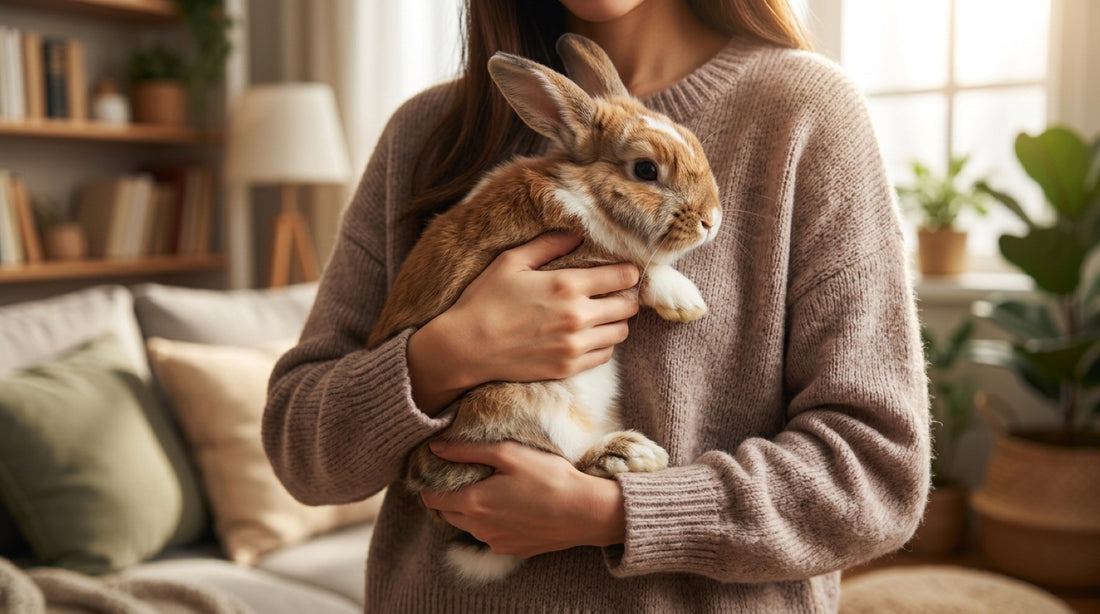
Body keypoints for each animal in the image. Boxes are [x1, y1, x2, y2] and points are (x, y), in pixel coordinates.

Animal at [366, 33, 722, 582]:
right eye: (645, 170)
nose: (712, 219)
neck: (586, 190)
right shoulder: (574, 258)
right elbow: (638, 268)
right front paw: (686, 300)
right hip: (516, 404)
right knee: (567, 460)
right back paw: (630, 453)